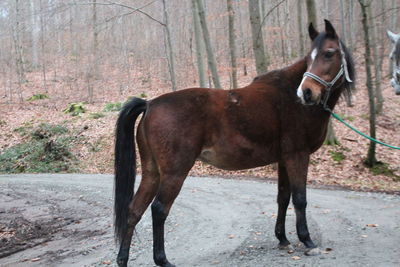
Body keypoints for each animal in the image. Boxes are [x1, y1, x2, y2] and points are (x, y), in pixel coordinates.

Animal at [114, 19, 354, 266]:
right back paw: (162, 259)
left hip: (152, 172)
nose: (306, 92)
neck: (291, 99)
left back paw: (123, 258)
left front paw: (282, 238)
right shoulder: (297, 156)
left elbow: (283, 198)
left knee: (134, 210)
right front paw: (307, 240)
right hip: (174, 173)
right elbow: (299, 199)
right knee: (159, 209)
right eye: (310, 57)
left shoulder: (284, 160)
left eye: (328, 53)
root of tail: (150, 103)